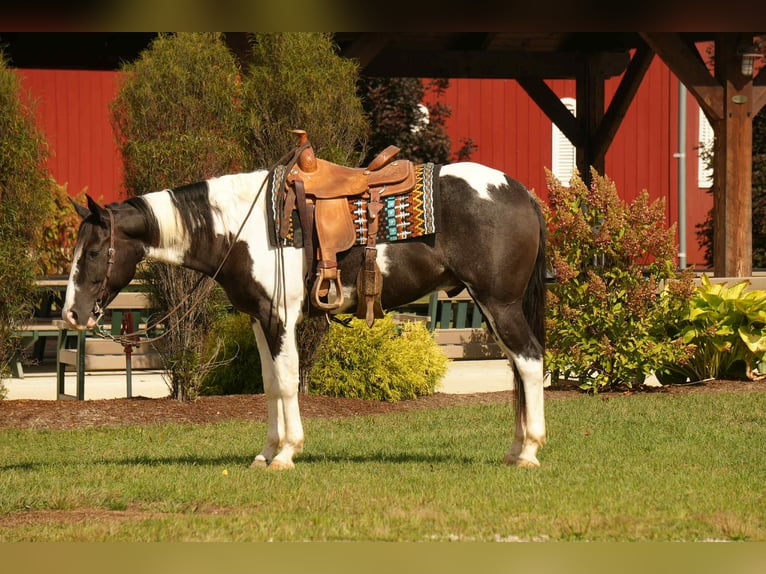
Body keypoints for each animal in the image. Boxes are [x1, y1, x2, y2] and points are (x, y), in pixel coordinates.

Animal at [62, 161, 547, 469]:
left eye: (94, 251)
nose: (72, 314)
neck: (239, 225)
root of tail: (519, 191)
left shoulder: (280, 316)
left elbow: (287, 379)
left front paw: (286, 453)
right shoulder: (259, 318)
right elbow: (269, 383)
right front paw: (265, 452)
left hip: (500, 303)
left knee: (529, 360)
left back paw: (529, 451)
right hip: (491, 306)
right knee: (516, 368)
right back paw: (514, 449)